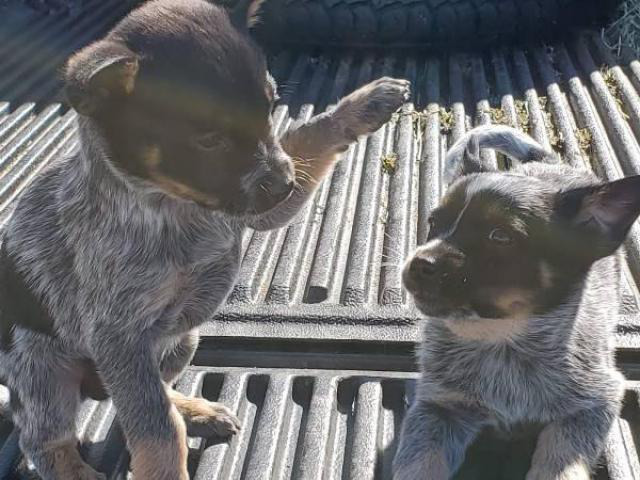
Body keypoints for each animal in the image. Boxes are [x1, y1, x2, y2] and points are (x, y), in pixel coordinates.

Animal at [0, 0, 412, 480]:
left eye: (272, 107)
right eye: (208, 140)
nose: (286, 183)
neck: (178, 207)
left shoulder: (263, 210)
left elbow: (306, 138)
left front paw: (365, 104)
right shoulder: (119, 335)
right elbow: (158, 432)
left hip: (184, 340)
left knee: (148, 395)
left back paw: (191, 408)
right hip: (45, 372)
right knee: (44, 438)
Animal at [392, 124, 632, 480]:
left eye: (500, 237)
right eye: (434, 222)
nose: (419, 263)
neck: (501, 341)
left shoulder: (596, 402)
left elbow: (560, 458)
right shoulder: (438, 405)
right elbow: (421, 460)